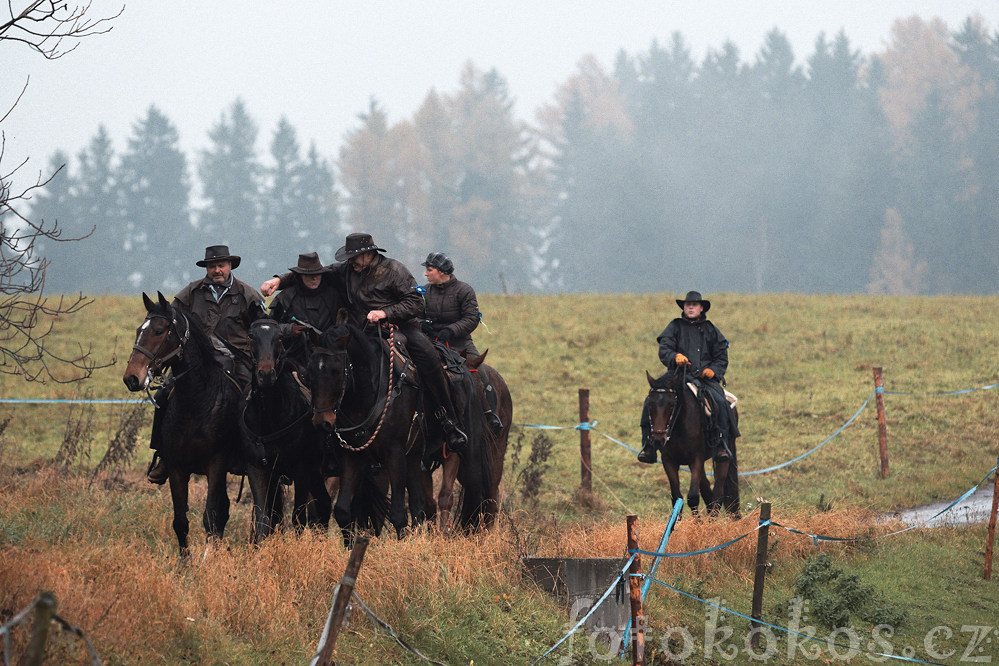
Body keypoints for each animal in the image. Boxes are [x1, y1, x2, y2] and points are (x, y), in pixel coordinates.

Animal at [123, 292, 244, 556]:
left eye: (159, 331)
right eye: (139, 330)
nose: (132, 378)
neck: (196, 402)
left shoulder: (216, 466)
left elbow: (210, 516)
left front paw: (208, 560)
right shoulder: (177, 467)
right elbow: (180, 522)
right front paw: (185, 563)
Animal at [241, 312, 332, 540]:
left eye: (280, 337)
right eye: (251, 335)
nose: (266, 374)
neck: (269, 417)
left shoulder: (301, 469)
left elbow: (298, 518)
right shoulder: (257, 469)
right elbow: (263, 519)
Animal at [308, 322, 426, 544]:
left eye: (337, 370)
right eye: (310, 370)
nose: (321, 423)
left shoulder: (395, 454)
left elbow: (399, 513)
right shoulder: (350, 456)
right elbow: (343, 511)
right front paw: (350, 546)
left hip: (414, 456)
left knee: (417, 505)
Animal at [644, 368, 740, 512]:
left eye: (672, 405)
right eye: (650, 404)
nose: (658, 439)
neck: (679, 427)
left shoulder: (696, 459)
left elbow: (693, 497)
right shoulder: (669, 461)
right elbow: (677, 498)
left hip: (724, 455)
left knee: (718, 494)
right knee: (707, 492)